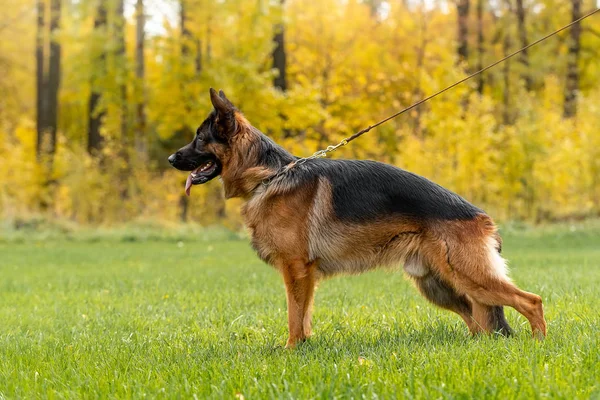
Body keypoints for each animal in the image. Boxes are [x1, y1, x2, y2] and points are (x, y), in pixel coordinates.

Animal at [169, 89, 548, 348]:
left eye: (199, 139)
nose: (172, 158)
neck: (269, 175)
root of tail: (483, 218)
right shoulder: (305, 275)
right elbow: (303, 316)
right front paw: (303, 348)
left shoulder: (296, 270)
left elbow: (294, 316)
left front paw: (291, 350)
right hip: (441, 286)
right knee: (482, 324)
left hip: (469, 277)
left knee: (532, 301)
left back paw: (539, 345)